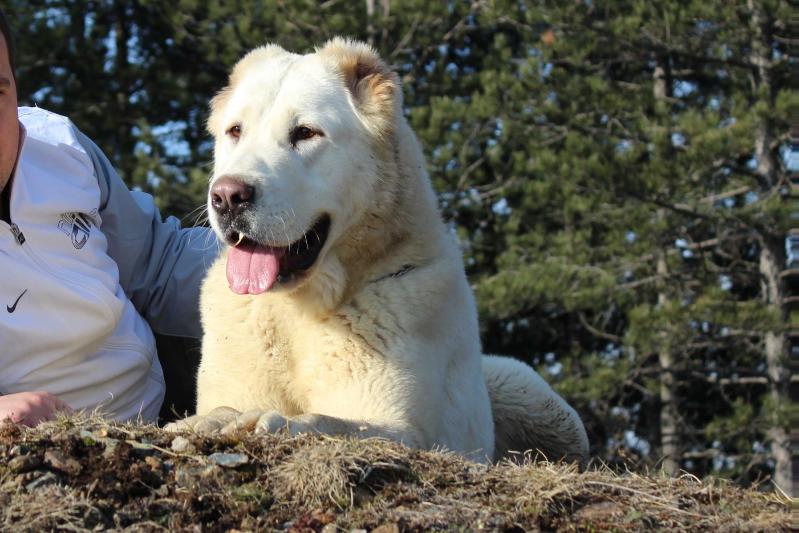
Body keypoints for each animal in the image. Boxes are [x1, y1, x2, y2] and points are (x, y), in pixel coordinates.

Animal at [169, 38, 592, 462]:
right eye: (235, 131)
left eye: (305, 133)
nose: (227, 196)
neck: (298, 308)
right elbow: (225, 407)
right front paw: (209, 420)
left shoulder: (406, 430)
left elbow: (331, 422)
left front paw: (268, 420)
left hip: (535, 398)